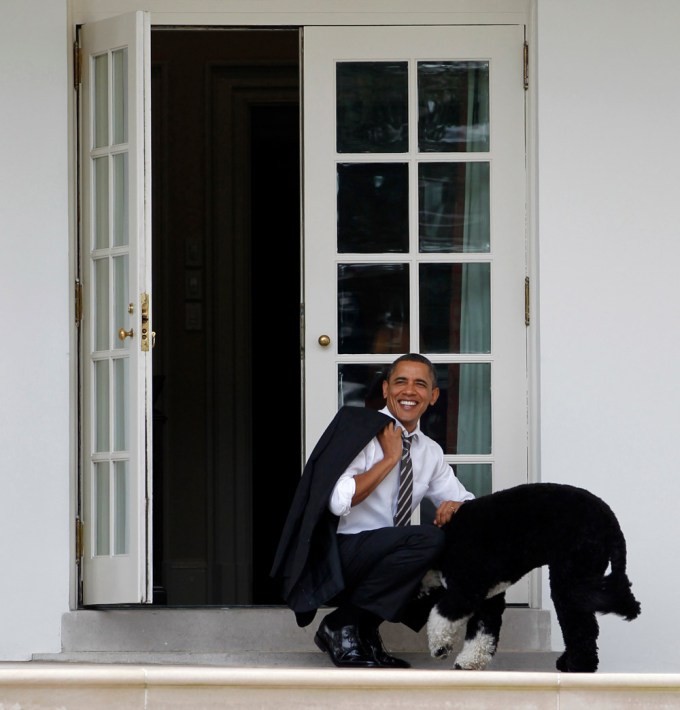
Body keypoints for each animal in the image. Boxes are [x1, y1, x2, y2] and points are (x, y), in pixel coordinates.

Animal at [424, 484, 644, 672]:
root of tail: (610, 520)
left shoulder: (467, 588)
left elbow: (441, 615)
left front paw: (439, 646)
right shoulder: (488, 598)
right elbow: (482, 632)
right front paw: (469, 661)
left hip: (570, 575)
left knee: (582, 627)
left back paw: (579, 667)